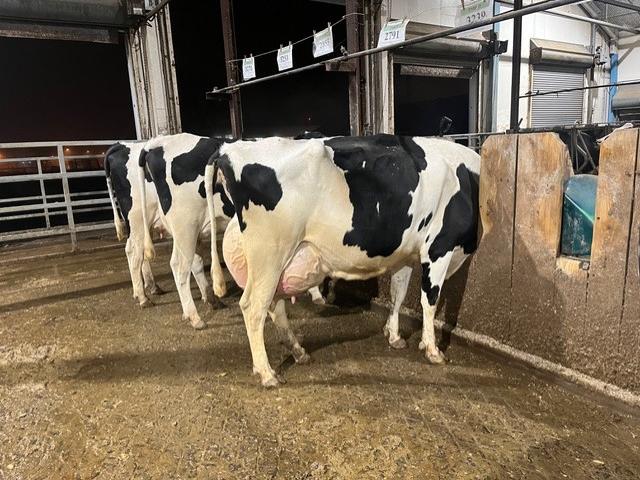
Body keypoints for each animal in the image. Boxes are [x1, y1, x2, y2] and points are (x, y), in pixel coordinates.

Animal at [206, 134, 480, 387]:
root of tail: (227, 149)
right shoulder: (439, 248)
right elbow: (429, 301)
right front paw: (433, 350)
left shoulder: (405, 255)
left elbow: (398, 295)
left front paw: (395, 336)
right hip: (270, 254)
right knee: (253, 307)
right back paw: (267, 373)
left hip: (278, 261)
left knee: (275, 305)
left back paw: (298, 353)